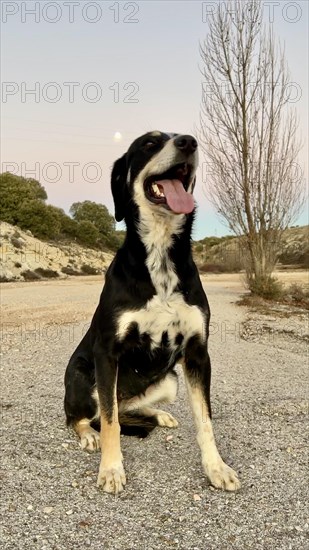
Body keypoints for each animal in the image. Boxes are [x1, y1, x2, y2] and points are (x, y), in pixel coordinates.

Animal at [63, 133, 239, 496]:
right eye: (149, 144)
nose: (189, 142)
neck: (160, 254)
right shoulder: (107, 353)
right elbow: (111, 423)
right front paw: (111, 469)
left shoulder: (198, 354)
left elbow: (205, 420)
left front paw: (216, 468)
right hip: (85, 377)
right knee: (88, 416)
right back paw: (88, 434)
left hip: (169, 379)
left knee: (126, 406)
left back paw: (159, 415)